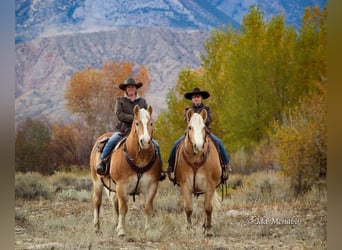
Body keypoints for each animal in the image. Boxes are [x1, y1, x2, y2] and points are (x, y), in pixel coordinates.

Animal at [89, 104, 162, 236]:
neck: (140, 159)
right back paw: (97, 227)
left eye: (151, 123)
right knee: (97, 202)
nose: (145, 142)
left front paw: (148, 230)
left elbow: (148, 208)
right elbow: (123, 208)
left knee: (114, 203)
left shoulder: (152, 186)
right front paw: (122, 230)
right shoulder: (122, 186)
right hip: (97, 182)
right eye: (137, 123)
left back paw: (114, 223)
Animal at [171, 108, 222, 236]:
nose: (198, 146)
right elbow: (188, 208)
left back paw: (205, 226)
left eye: (204, 128)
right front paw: (189, 229)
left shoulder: (210, 185)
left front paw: (209, 230)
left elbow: (208, 208)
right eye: (190, 127)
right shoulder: (185, 185)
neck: (195, 159)